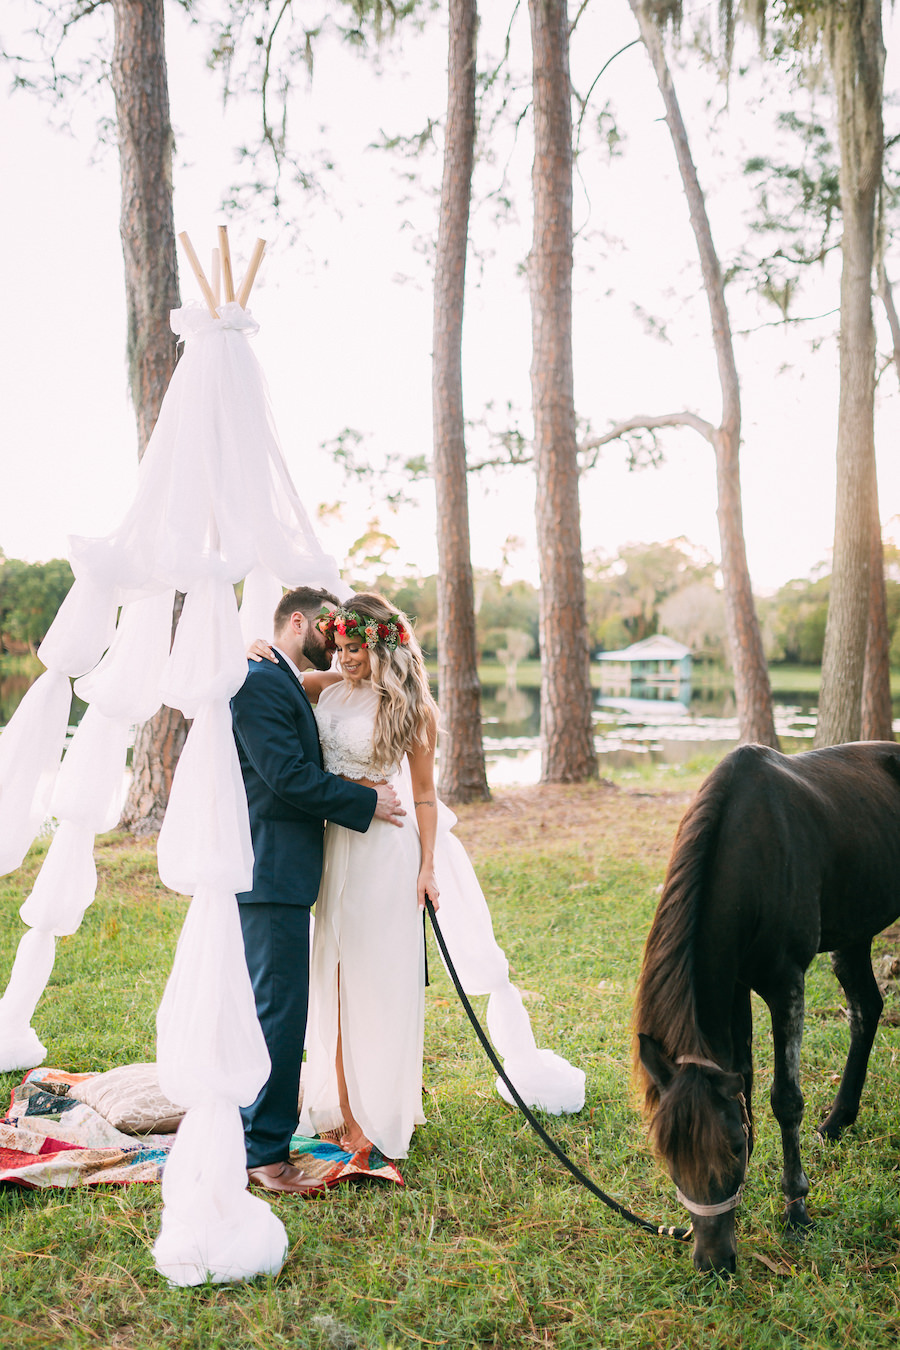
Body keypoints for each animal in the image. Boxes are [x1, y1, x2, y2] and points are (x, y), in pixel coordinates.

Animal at [634, 739, 900, 1274]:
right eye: (668, 1155)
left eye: (732, 1148)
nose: (712, 1262)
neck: (747, 853)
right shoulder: (735, 983)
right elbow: (746, 1081)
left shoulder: (785, 983)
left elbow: (785, 1099)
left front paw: (796, 1206)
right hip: (855, 931)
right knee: (866, 1009)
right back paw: (839, 1119)